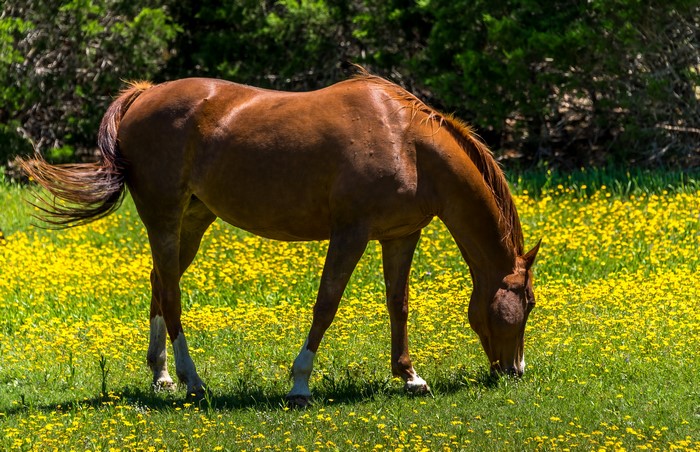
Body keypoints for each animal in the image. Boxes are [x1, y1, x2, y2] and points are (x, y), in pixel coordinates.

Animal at [19, 69, 540, 406]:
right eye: (529, 303)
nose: (515, 372)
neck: (407, 141)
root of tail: (143, 96)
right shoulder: (350, 234)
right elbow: (326, 303)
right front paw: (300, 383)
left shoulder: (400, 236)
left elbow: (399, 304)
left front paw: (410, 377)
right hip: (164, 218)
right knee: (171, 295)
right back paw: (192, 381)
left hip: (193, 220)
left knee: (158, 283)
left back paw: (162, 375)